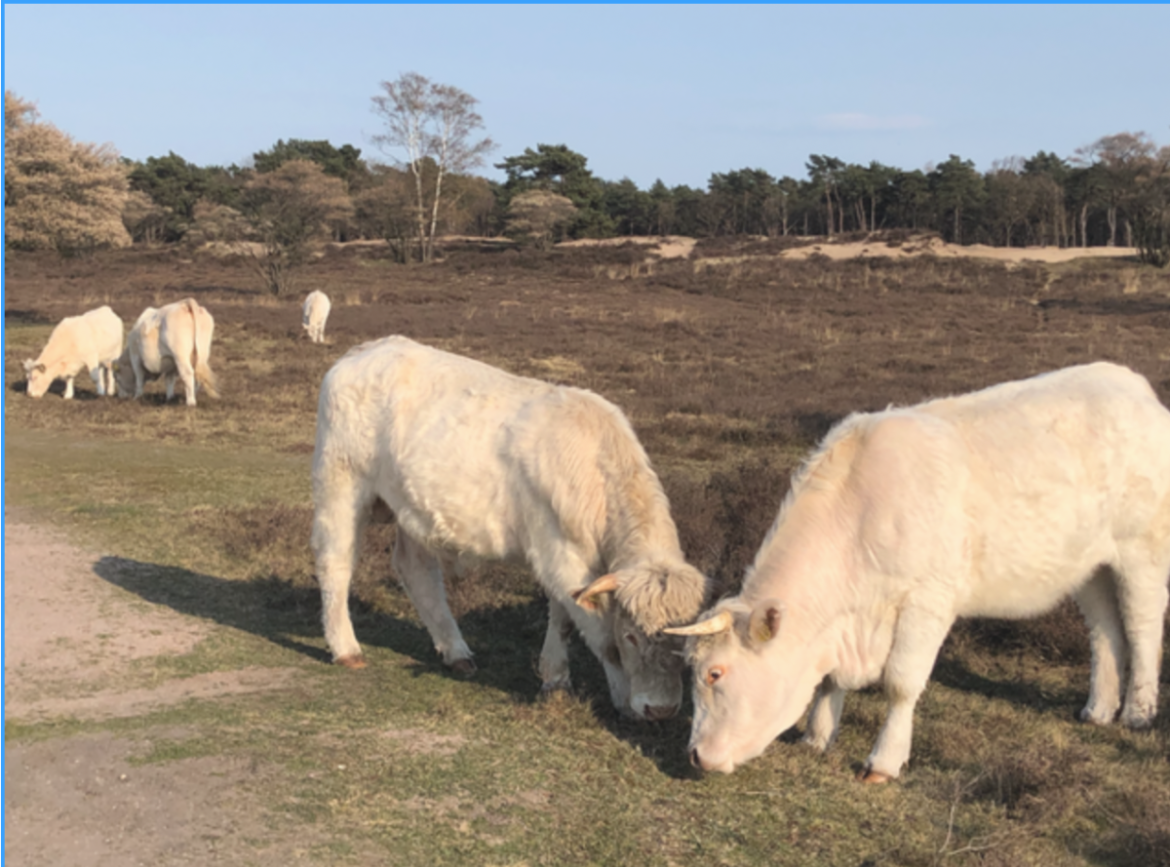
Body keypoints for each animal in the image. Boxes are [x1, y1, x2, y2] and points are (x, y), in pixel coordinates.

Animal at [313, 334, 711, 720]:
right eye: (631, 636)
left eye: (683, 646)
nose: (662, 710)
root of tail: (365, 350)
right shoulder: (561, 553)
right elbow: (597, 633)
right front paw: (621, 700)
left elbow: (563, 618)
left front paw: (555, 679)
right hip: (341, 484)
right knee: (335, 562)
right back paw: (346, 648)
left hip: (412, 509)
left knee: (417, 572)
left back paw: (456, 652)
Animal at [669, 362, 1170, 781]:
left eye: (715, 674)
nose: (694, 755)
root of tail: (1132, 385)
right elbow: (831, 680)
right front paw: (817, 736)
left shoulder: (927, 601)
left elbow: (901, 683)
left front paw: (883, 762)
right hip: (1091, 564)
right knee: (1105, 631)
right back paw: (1098, 709)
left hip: (1142, 549)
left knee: (1142, 623)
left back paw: (1138, 712)